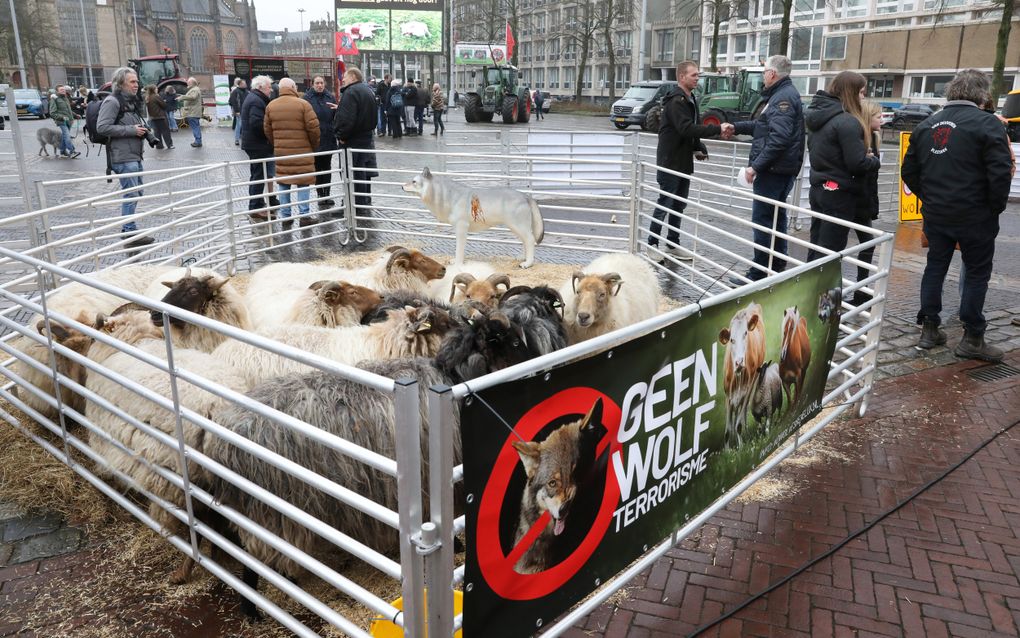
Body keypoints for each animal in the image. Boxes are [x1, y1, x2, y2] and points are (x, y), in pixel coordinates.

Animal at [399, 166, 546, 265]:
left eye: (414, 181)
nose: (401, 186)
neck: (450, 197)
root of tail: (525, 196)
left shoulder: (461, 227)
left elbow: (459, 249)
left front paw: (457, 264)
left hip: (518, 226)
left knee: (530, 240)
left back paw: (528, 263)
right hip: (515, 227)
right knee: (525, 241)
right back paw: (523, 258)